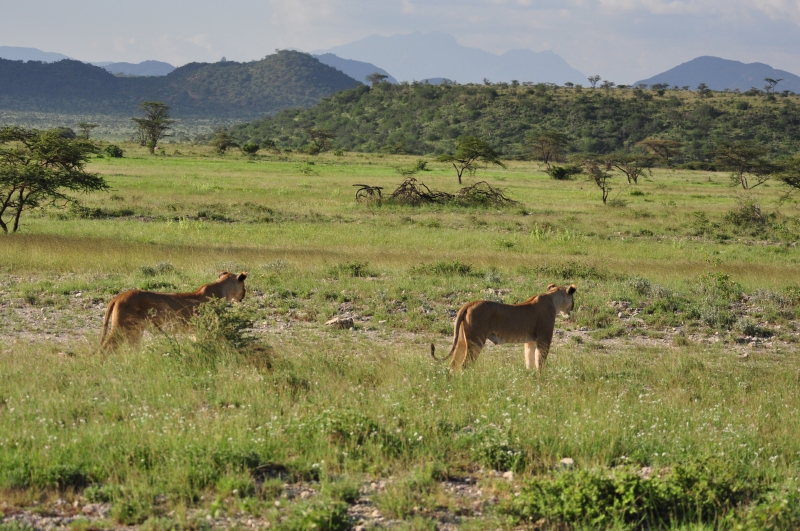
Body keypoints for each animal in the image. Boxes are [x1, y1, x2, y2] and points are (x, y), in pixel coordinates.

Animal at [99, 271, 248, 351]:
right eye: (244, 286)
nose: (244, 295)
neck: (222, 289)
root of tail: (118, 296)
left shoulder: (196, 330)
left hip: (135, 331)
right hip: (121, 328)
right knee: (105, 348)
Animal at [431, 284, 577, 371]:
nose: (573, 307)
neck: (554, 300)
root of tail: (469, 304)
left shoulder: (530, 341)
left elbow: (530, 360)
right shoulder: (544, 338)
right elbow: (540, 361)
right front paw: (541, 377)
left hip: (462, 340)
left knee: (453, 363)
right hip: (476, 339)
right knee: (464, 364)